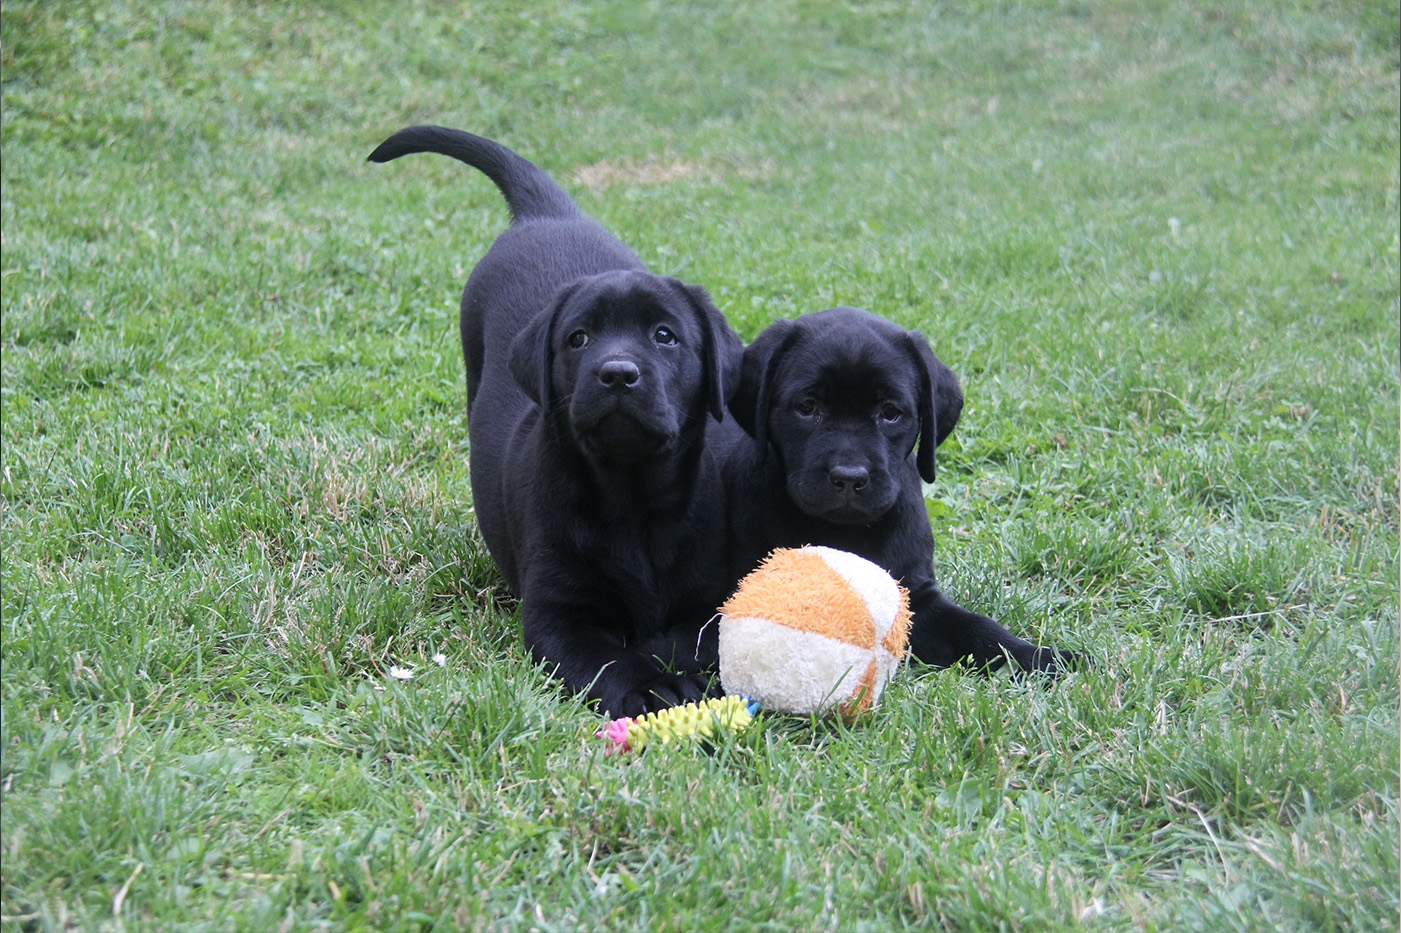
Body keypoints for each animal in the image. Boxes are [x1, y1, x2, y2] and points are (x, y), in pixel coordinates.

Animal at [369, 125, 745, 711]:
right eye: (578, 339)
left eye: (665, 335)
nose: (617, 373)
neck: (630, 498)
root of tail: (547, 215)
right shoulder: (559, 616)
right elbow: (611, 659)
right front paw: (654, 685)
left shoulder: (711, 596)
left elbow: (693, 638)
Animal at [722, 305, 1070, 675]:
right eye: (807, 407)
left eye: (890, 412)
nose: (849, 477)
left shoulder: (917, 596)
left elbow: (979, 628)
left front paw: (1044, 658)